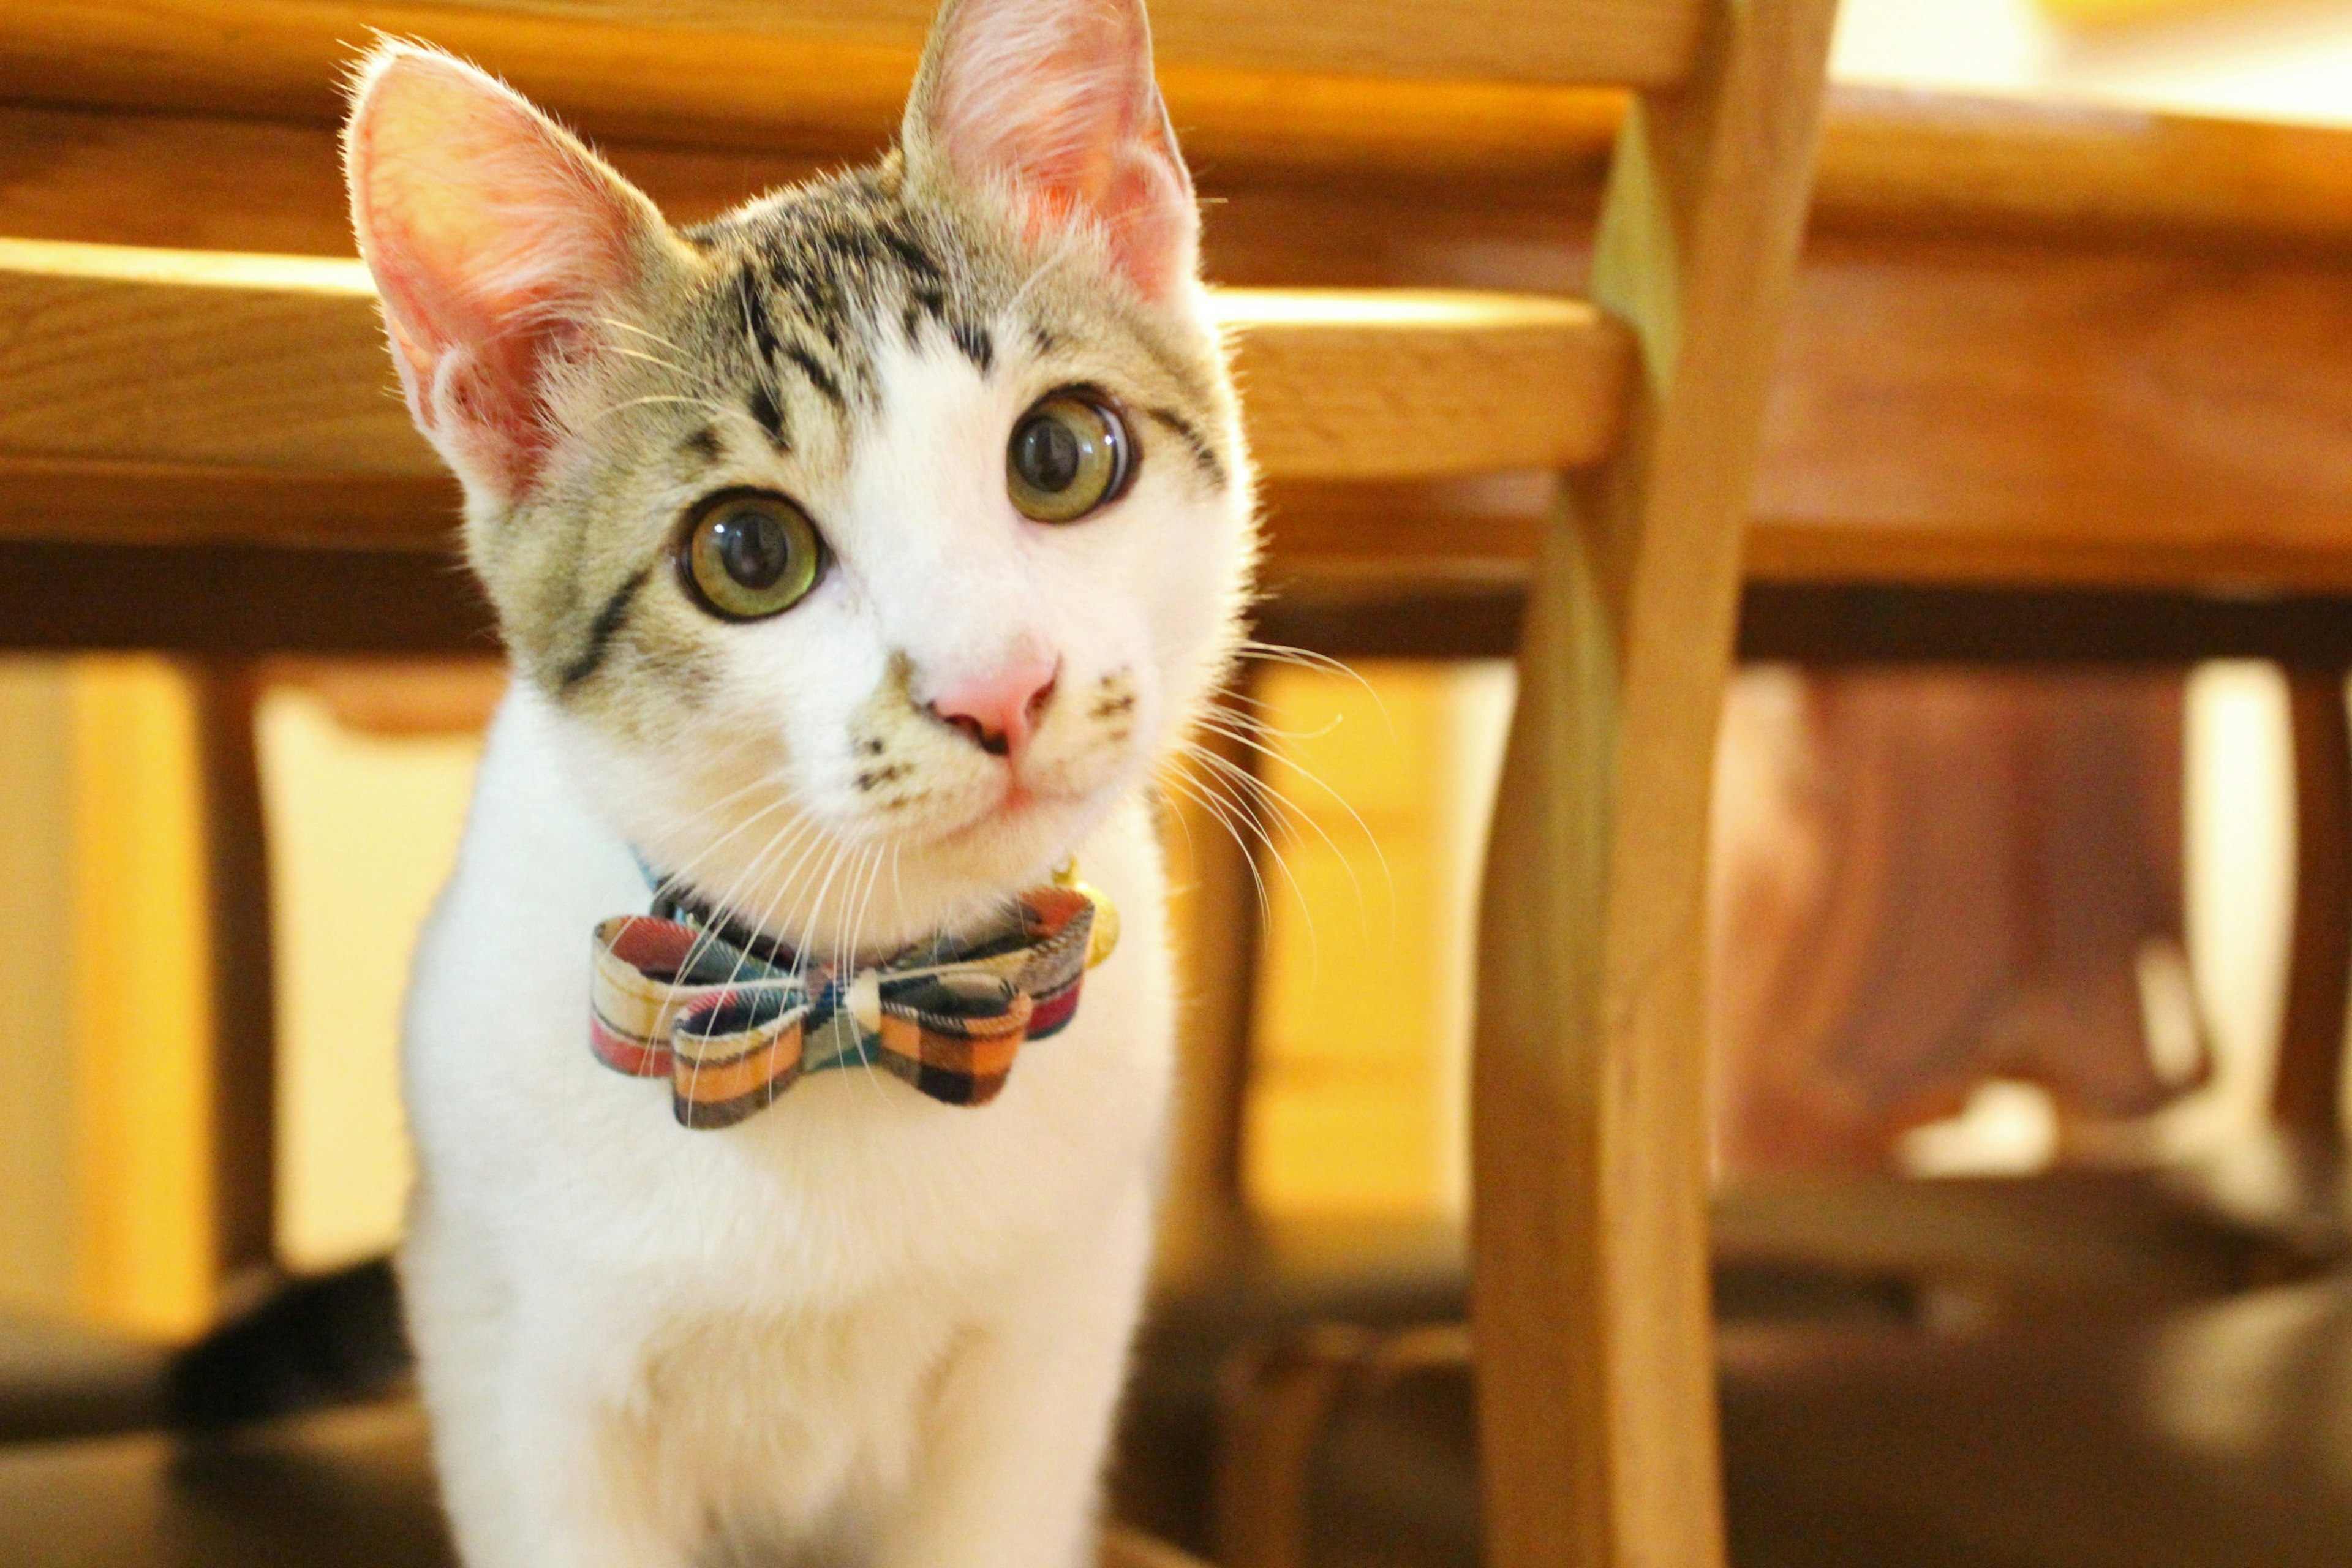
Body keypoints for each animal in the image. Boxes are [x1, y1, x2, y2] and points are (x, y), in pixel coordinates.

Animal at [343, 0, 1261, 1561]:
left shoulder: (1052, 1337)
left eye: (1062, 452)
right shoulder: (513, 1352)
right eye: (749, 552)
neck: (853, 994)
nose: (997, 686)